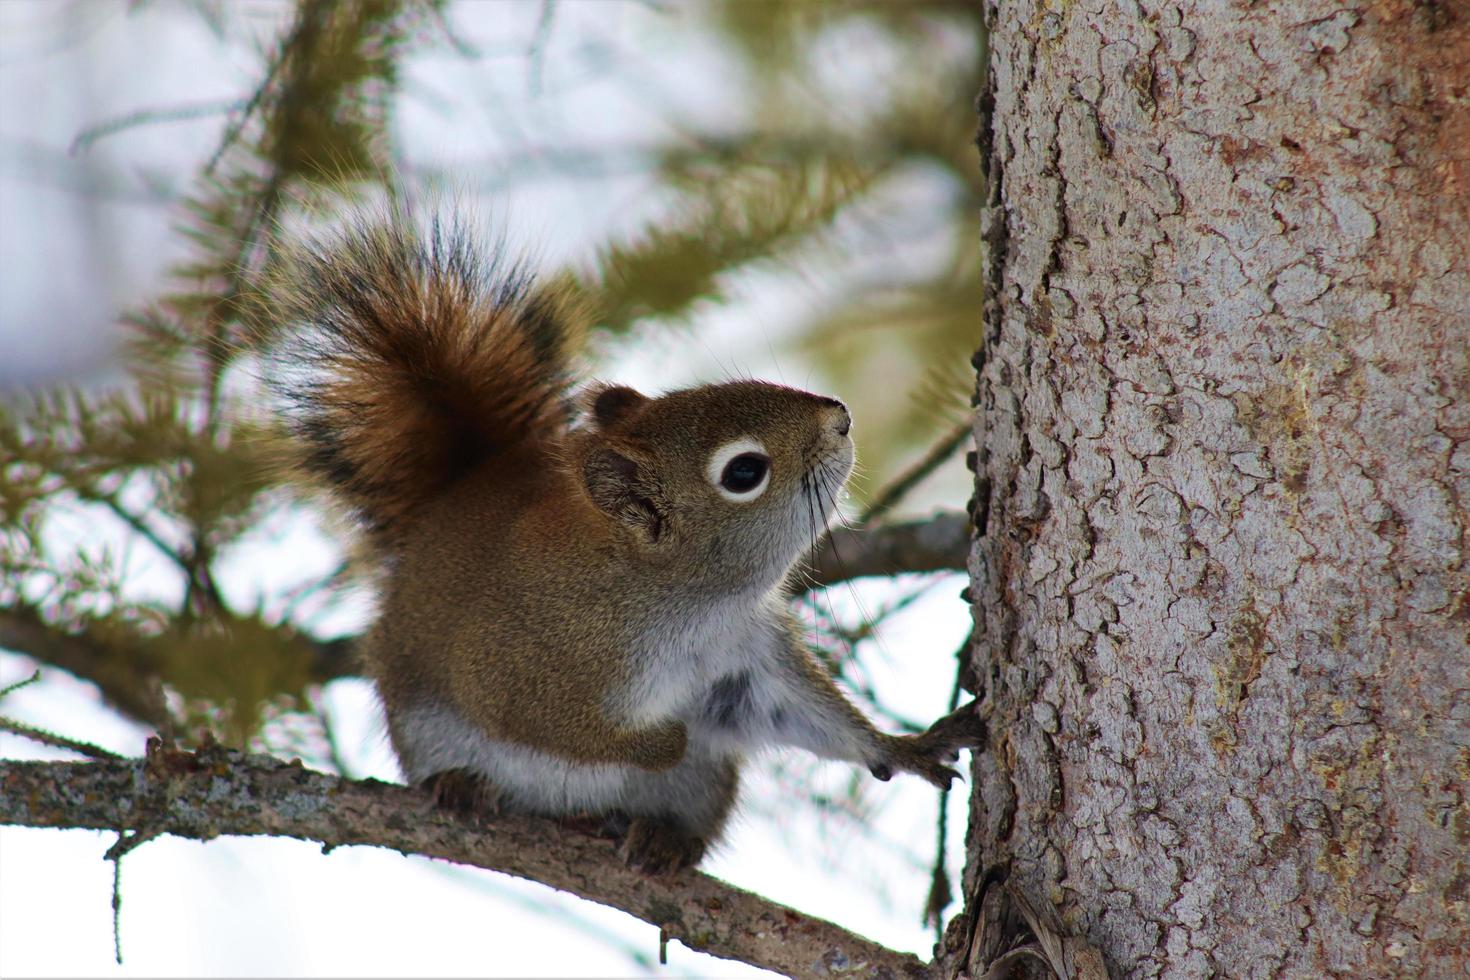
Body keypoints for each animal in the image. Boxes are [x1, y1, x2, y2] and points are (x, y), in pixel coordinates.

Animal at [273, 214, 987, 875]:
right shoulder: (519, 660)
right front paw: (666, 739)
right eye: (744, 472)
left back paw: (663, 838)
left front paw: (905, 748)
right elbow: (546, 721)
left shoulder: (748, 659)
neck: (690, 600)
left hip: (704, 788)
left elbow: (810, 718)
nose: (840, 418)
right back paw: (460, 786)